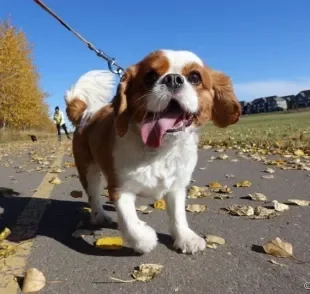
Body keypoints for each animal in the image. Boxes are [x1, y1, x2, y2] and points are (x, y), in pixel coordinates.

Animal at [64, 49, 241, 254]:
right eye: (150, 76)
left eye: (195, 77)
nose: (173, 79)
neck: (161, 150)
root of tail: (86, 112)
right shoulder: (119, 188)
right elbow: (130, 222)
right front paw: (144, 239)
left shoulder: (176, 186)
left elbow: (178, 214)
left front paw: (185, 237)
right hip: (88, 171)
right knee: (93, 196)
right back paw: (100, 216)